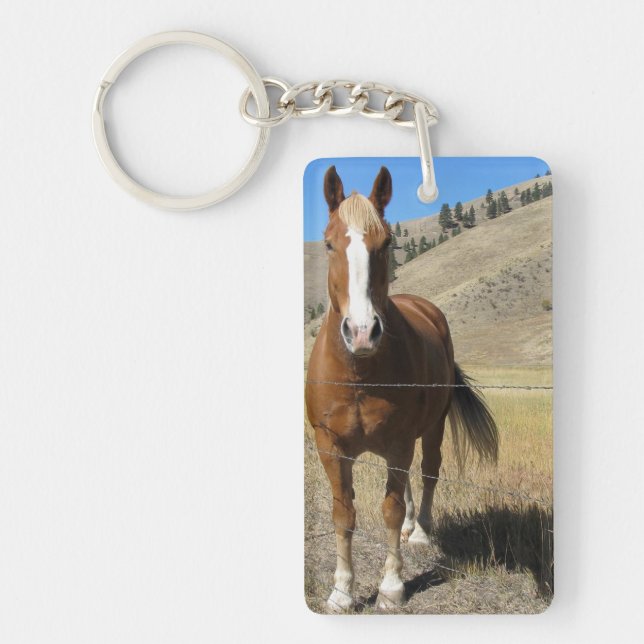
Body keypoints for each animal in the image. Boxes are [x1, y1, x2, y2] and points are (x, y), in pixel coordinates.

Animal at [305, 165, 499, 612]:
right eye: (328, 243)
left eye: (386, 243)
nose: (362, 332)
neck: (359, 373)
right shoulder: (329, 446)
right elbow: (343, 514)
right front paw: (342, 591)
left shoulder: (398, 440)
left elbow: (390, 510)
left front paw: (392, 586)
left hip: (431, 428)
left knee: (428, 473)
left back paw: (421, 530)